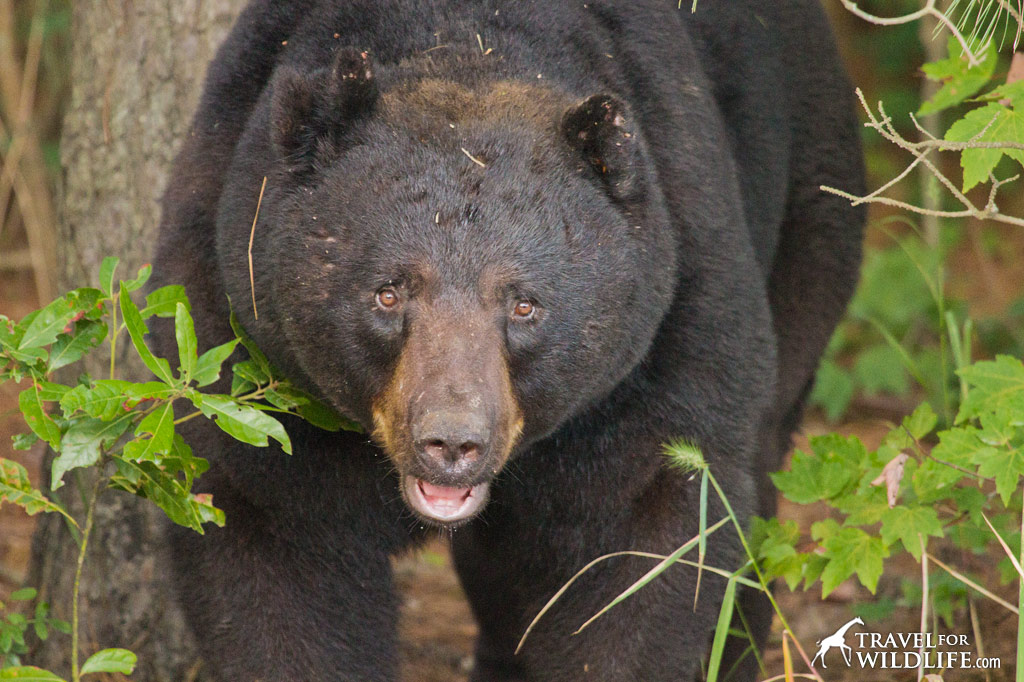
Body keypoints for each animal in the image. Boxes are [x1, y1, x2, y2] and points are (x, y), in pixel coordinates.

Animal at [151, 2, 864, 675]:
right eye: (388, 292)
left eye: (524, 305)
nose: (451, 441)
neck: (463, 43)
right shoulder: (236, 323)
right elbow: (275, 539)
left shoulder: (674, 313)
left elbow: (646, 531)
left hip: (809, 219)